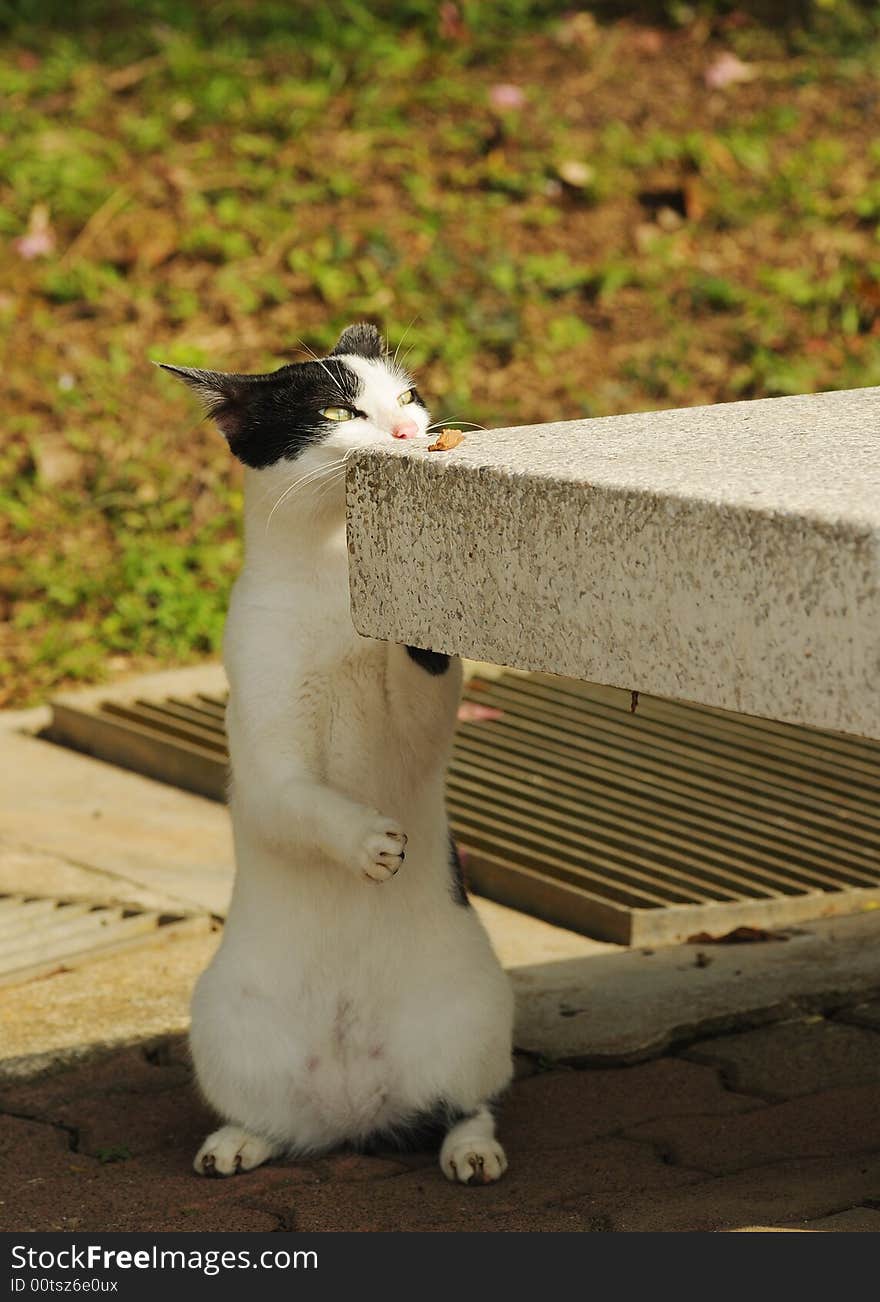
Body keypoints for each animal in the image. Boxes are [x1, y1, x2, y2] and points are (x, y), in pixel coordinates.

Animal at [161, 322, 512, 1182]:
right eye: (335, 410)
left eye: (408, 396)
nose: (406, 432)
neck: (332, 583)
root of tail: (357, 1113)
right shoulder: (263, 740)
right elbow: (294, 798)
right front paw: (366, 842)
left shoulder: (419, 729)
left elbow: (420, 695)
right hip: (222, 1023)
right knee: (277, 1120)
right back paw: (237, 1142)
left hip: (476, 1013)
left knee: (468, 1101)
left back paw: (471, 1152)